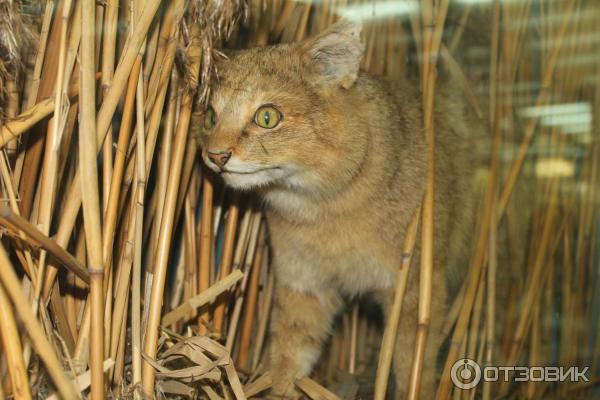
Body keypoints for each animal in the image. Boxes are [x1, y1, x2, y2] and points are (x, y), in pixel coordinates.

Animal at [199, 18, 476, 396]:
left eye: (267, 117)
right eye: (210, 116)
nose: (215, 156)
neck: (324, 212)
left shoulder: (416, 293)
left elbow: (411, 368)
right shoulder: (303, 287)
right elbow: (287, 356)